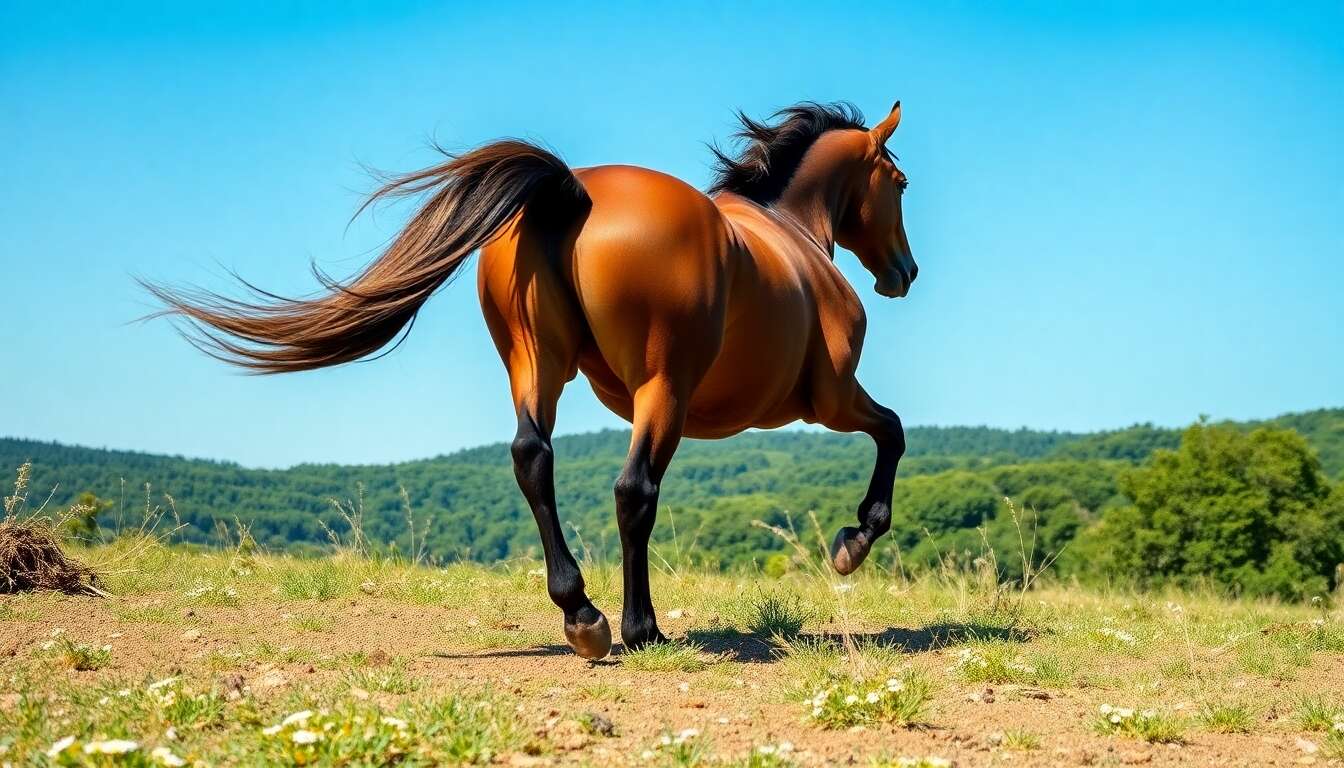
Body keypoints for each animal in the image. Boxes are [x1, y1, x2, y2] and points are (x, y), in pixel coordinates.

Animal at [145, 100, 917, 660]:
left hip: (535, 366)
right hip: (662, 389)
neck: (789, 235)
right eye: (900, 183)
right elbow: (894, 433)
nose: (902, 273)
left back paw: (582, 614)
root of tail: (572, 194)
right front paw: (853, 542)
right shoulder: (828, 400)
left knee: (532, 458)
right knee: (634, 492)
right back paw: (639, 629)